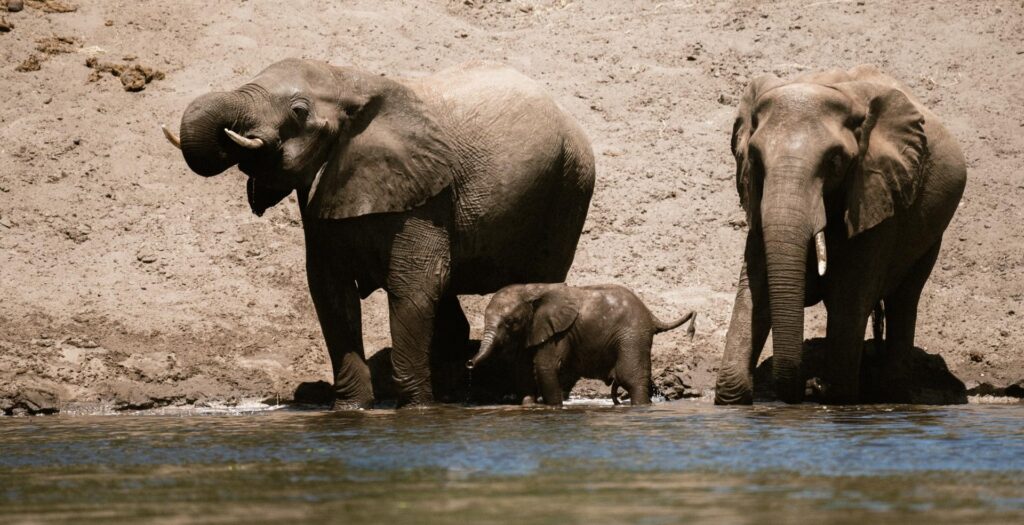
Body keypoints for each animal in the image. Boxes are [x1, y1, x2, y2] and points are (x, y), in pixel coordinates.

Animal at [163, 59, 595, 408]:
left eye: (299, 111)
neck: (349, 82)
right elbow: (330, 291)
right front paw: (351, 409)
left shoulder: (424, 197)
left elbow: (413, 286)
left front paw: (418, 410)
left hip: (569, 187)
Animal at [465, 283, 696, 406]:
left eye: (510, 322)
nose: (468, 363)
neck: (530, 290)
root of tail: (652, 315)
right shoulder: (531, 332)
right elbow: (523, 371)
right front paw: (529, 406)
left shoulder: (558, 333)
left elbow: (546, 367)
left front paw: (552, 408)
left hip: (633, 335)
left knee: (631, 379)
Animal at [714, 64, 966, 405]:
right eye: (753, 158)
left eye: (834, 162)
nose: (807, 384)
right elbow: (757, 287)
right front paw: (733, 398)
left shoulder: (877, 193)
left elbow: (848, 296)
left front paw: (832, 393)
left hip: (930, 232)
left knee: (904, 298)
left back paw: (890, 392)